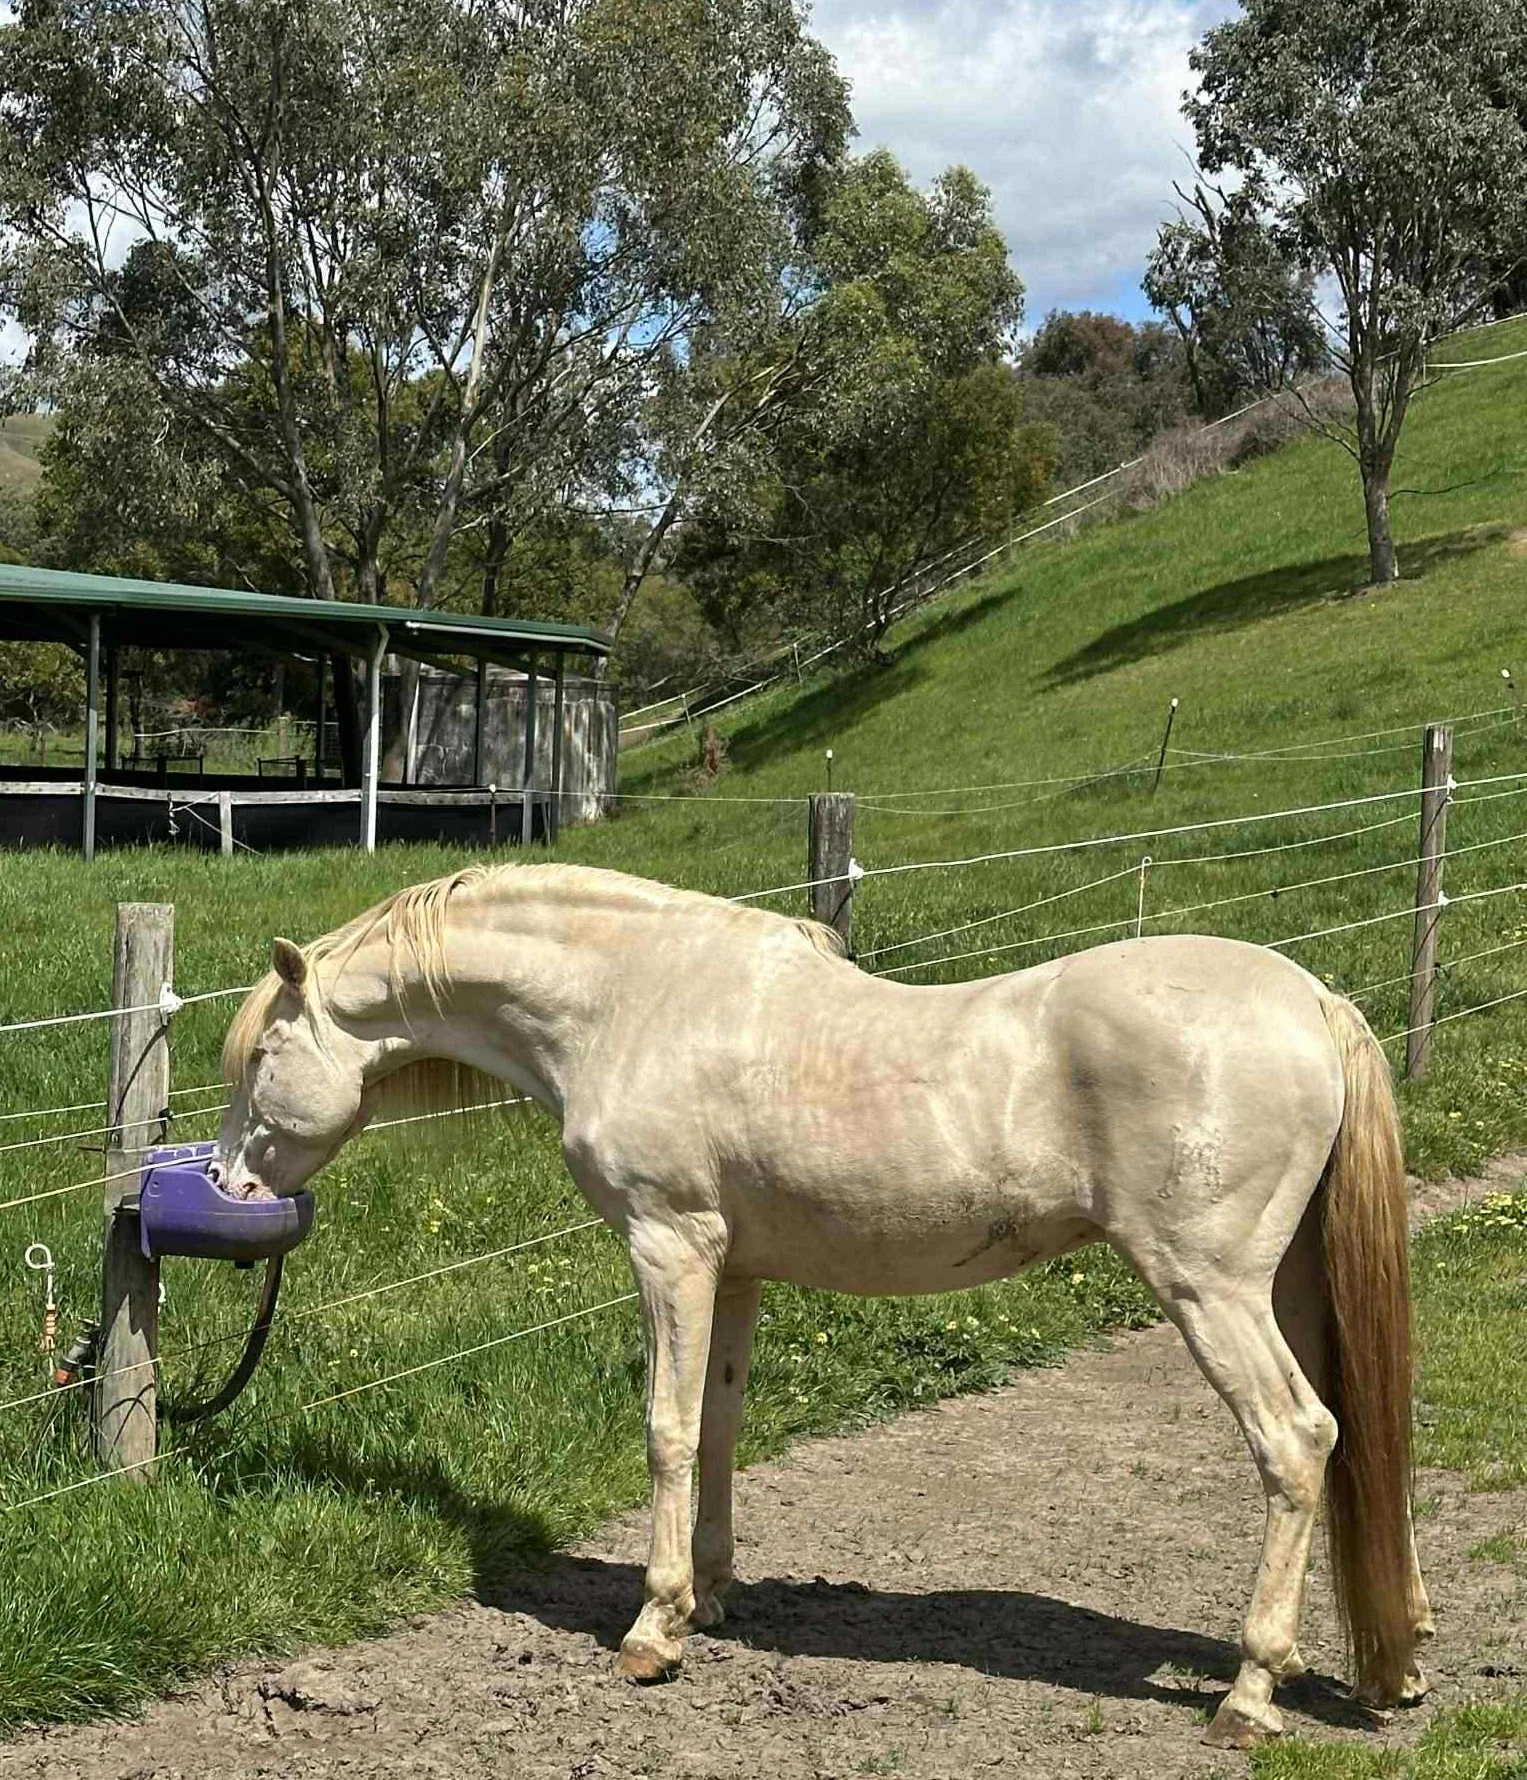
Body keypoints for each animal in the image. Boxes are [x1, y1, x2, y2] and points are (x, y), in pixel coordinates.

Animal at [217, 861, 1432, 1749]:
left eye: (264, 1051)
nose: (230, 1187)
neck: (633, 999)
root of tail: (1310, 1000)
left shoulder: (669, 1250)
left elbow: (664, 1429)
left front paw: (652, 1630)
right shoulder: (734, 1270)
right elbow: (716, 1428)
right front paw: (710, 1599)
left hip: (1208, 1290)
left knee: (1298, 1438)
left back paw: (1249, 1693)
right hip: (1291, 1285)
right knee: (1357, 1437)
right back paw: (1397, 1660)